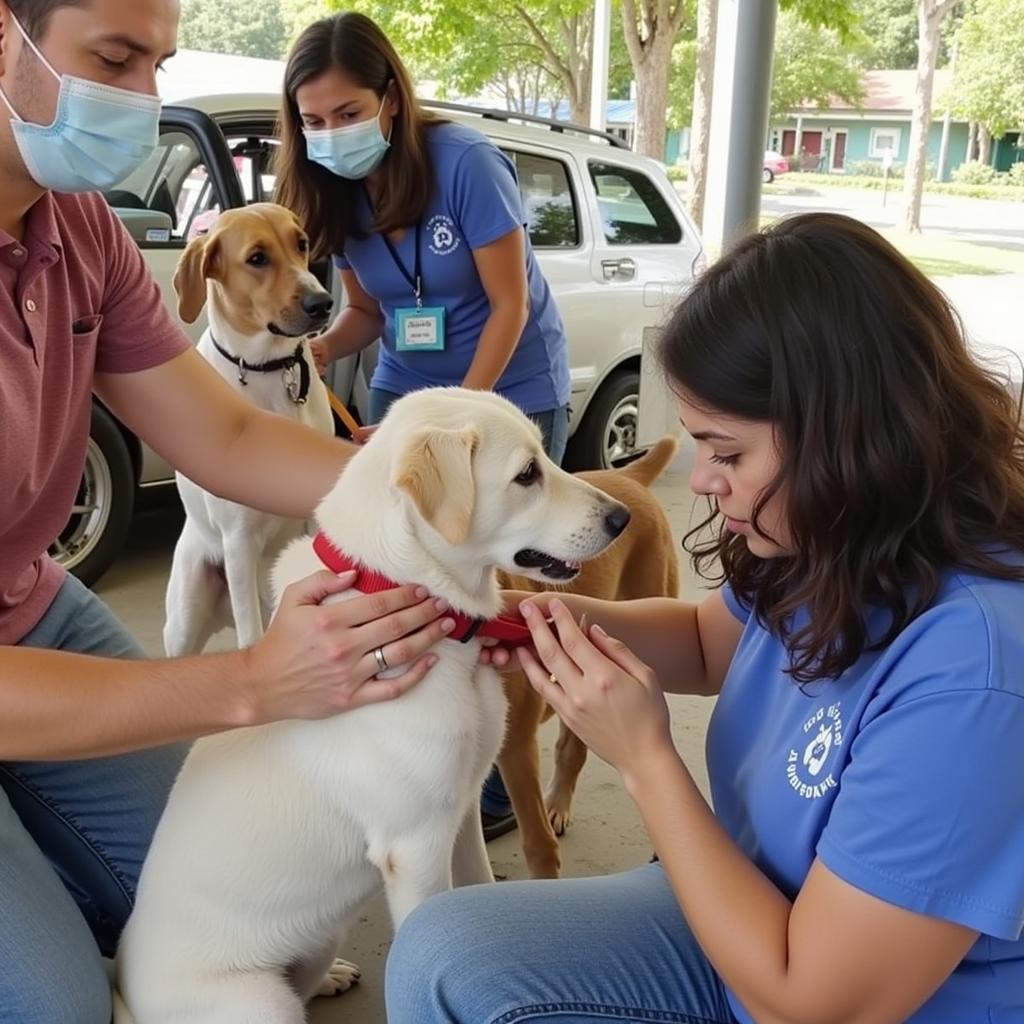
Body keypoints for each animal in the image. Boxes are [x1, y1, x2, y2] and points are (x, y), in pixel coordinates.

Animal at [117, 387, 630, 1019]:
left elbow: (478, 891)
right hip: (262, 1002)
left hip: (318, 938)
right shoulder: (415, 848)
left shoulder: (459, 815)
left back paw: (332, 976)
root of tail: (120, 984)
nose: (622, 517)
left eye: (543, 456)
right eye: (527, 474)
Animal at [161, 201, 333, 655]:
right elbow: (251, 637)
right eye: (257, 258)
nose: (324, 302)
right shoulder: (239, 543)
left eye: (301, 244)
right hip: (187, 615)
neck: (268, 368)